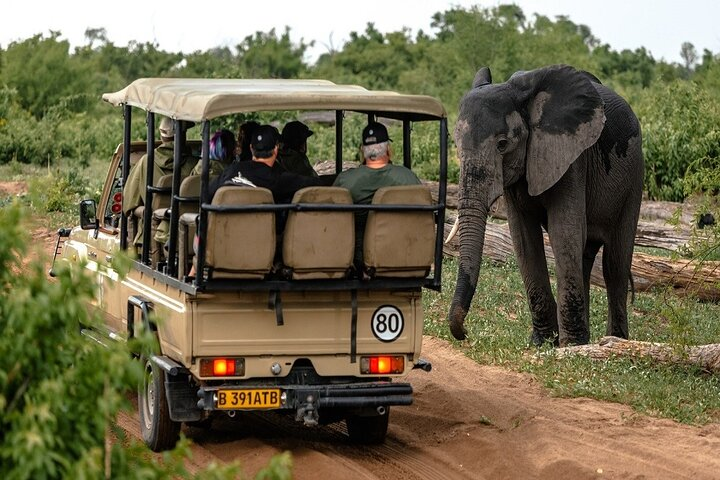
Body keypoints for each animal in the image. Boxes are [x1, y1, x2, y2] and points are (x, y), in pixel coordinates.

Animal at [448, 65, 644, 346]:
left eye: (502, 144)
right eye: (456, 144)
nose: (464, 333)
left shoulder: (571, 156)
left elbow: (564, 232)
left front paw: (570, 346)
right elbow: (523, 239)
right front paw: (544, 343)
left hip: (634, 177)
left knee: (614, 264)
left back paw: (613, 341)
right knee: (584, 257)